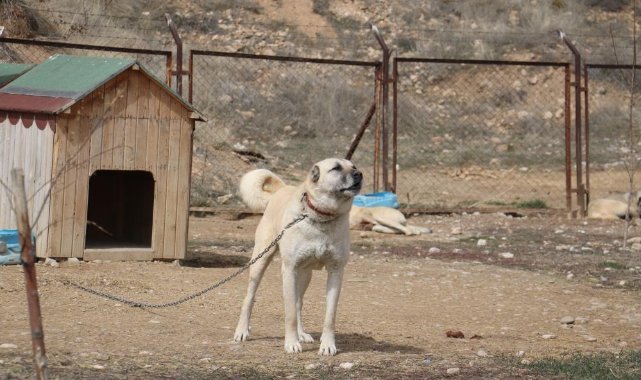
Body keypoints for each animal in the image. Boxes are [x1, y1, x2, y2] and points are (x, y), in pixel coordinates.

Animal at [232, 158, 360, 356]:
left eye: (354, 167)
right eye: (336, 168)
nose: (359, 174)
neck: (321, 217)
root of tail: (282, 188)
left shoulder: (336, 271)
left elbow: (329, 316)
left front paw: (328, 345)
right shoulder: (290, 270)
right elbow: (290, 313)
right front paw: (291, 343)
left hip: (305, 274)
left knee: (299, 302)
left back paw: (302, 334)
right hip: (260, 261)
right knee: (249, 298)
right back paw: (242, 331)